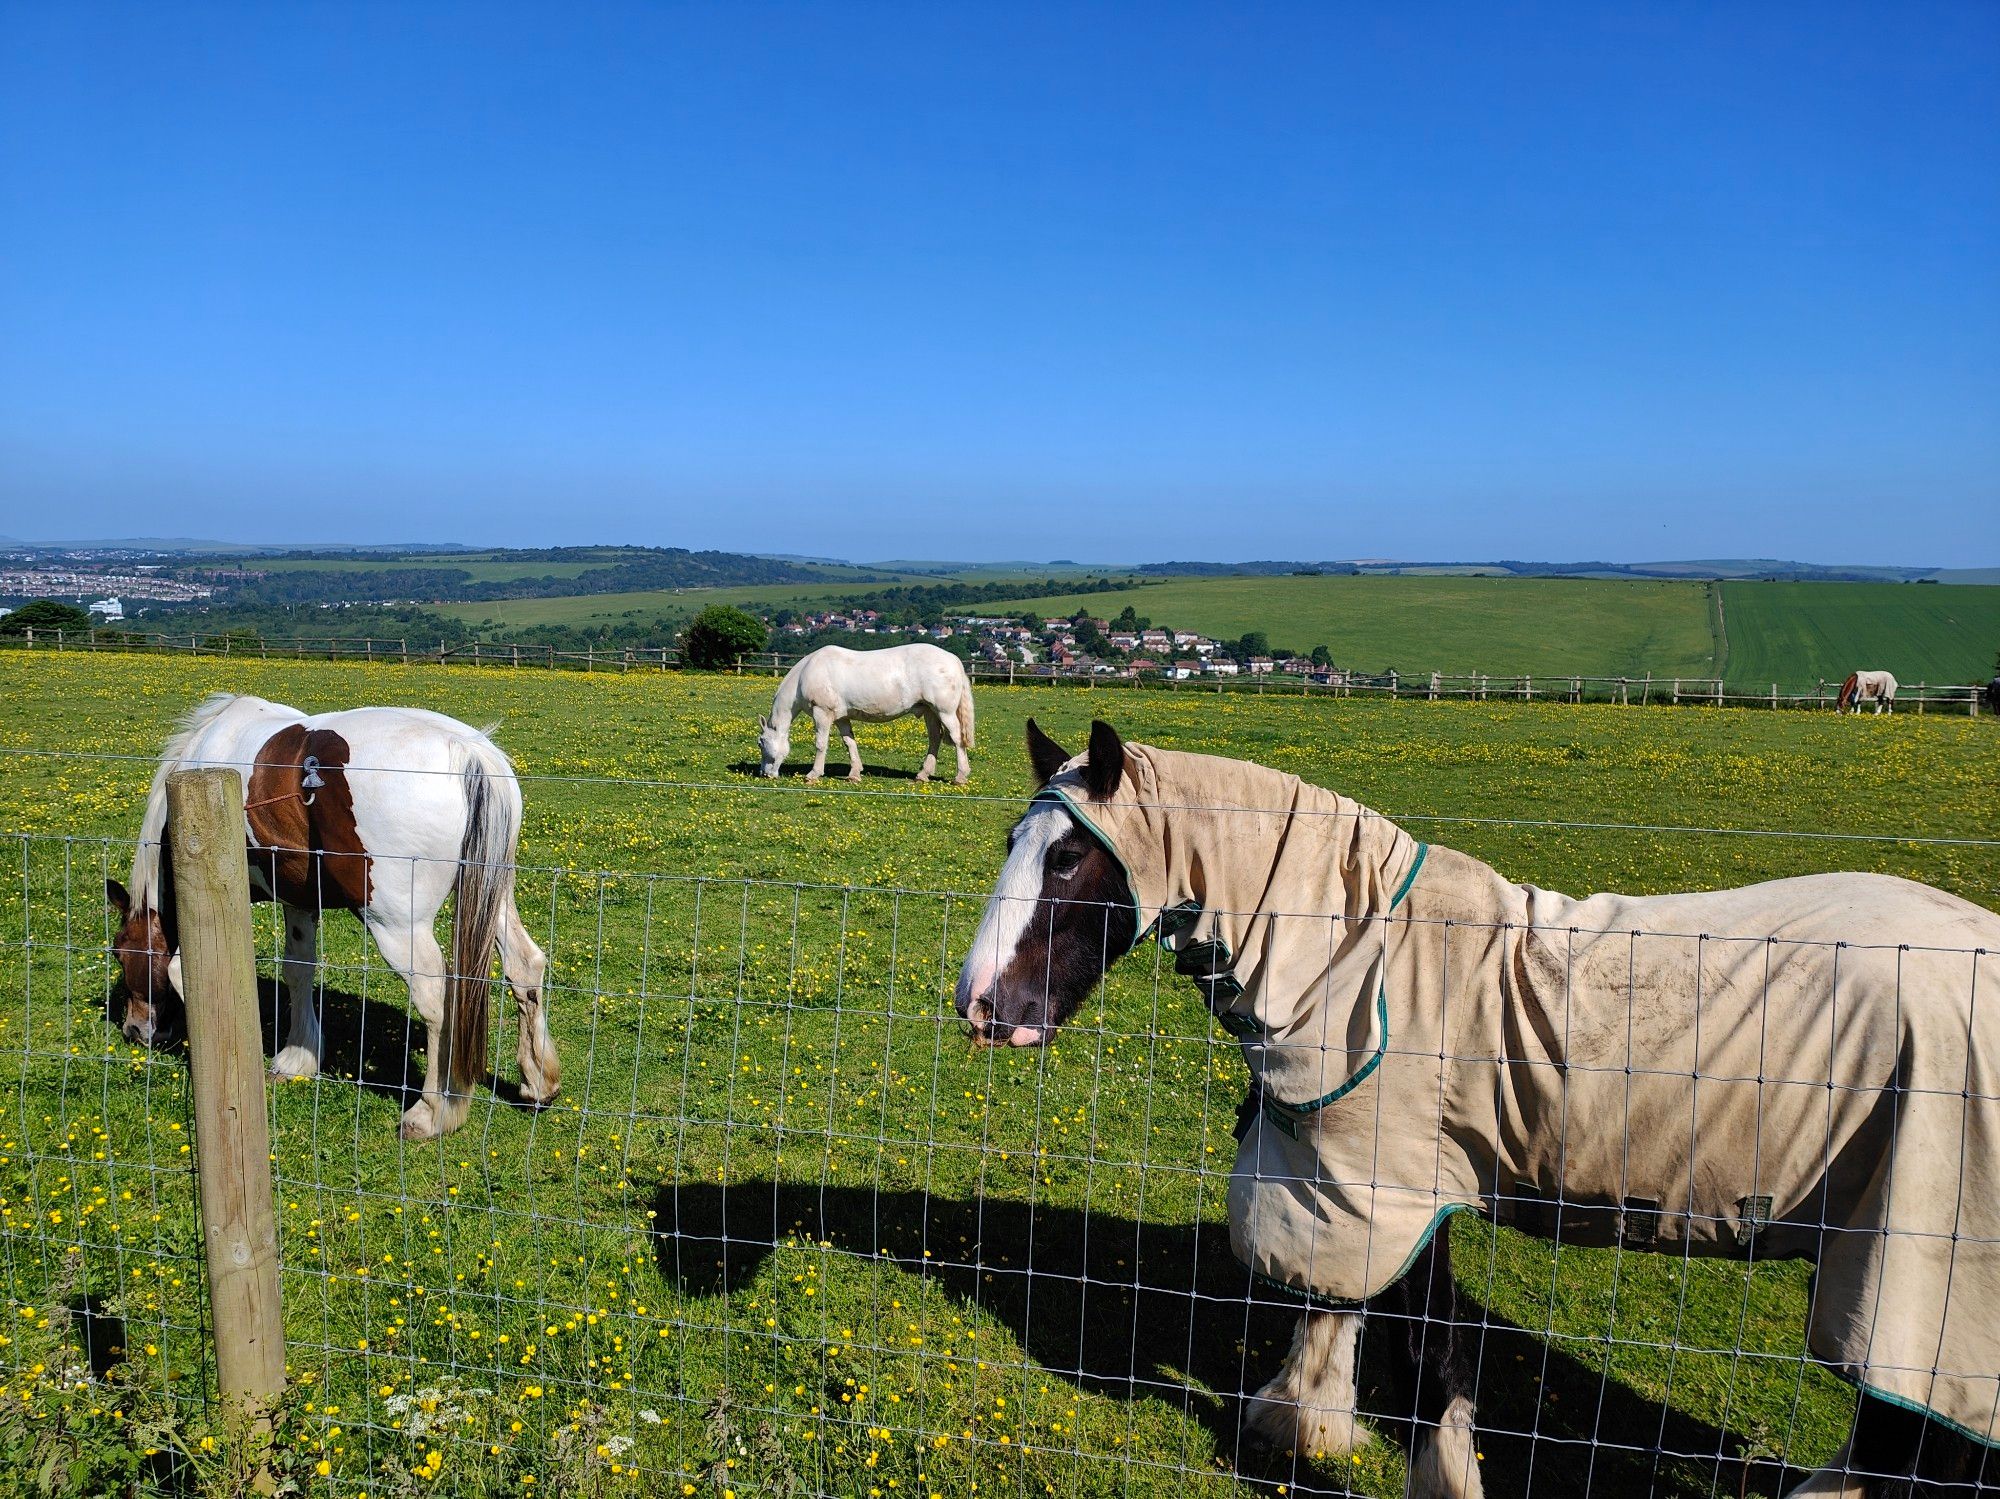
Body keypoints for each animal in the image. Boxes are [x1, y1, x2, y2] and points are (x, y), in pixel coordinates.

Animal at [110, 699, 564, 1143]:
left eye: (119, 952)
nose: (134, 1030)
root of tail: (466, 750)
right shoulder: (297, 899)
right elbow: (298, 969)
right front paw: (297, 1056)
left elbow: (179, 972)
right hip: (494, 896)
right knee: (525, 967)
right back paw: (537, 1084)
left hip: (397, 927)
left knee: (435, 997)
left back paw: (431, 1113)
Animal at [756, 643, 976, 787]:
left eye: (760, 743)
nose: (765, 774)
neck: (806, 673)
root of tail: (954, 660)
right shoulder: (841, 718)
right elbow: (849, 743)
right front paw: (854, 774)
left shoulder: (822, 714)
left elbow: (820, 744)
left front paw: (813, 774)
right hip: (930, 711)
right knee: (935, 739)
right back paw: (923, 774)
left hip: (944, 712)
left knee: (957, 739)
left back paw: (960, 777)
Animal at [952, 723, 2000, 1495]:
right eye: (1009, 844)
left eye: (1070, 859)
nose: (981, 1006)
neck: (1360, 958)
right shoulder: (1343, 1178)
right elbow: (1334, 1302)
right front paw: (1301, 1421)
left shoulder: (1404, 1181)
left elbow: (1430, 1360)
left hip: (1915, 1250)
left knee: (1914, 1432)